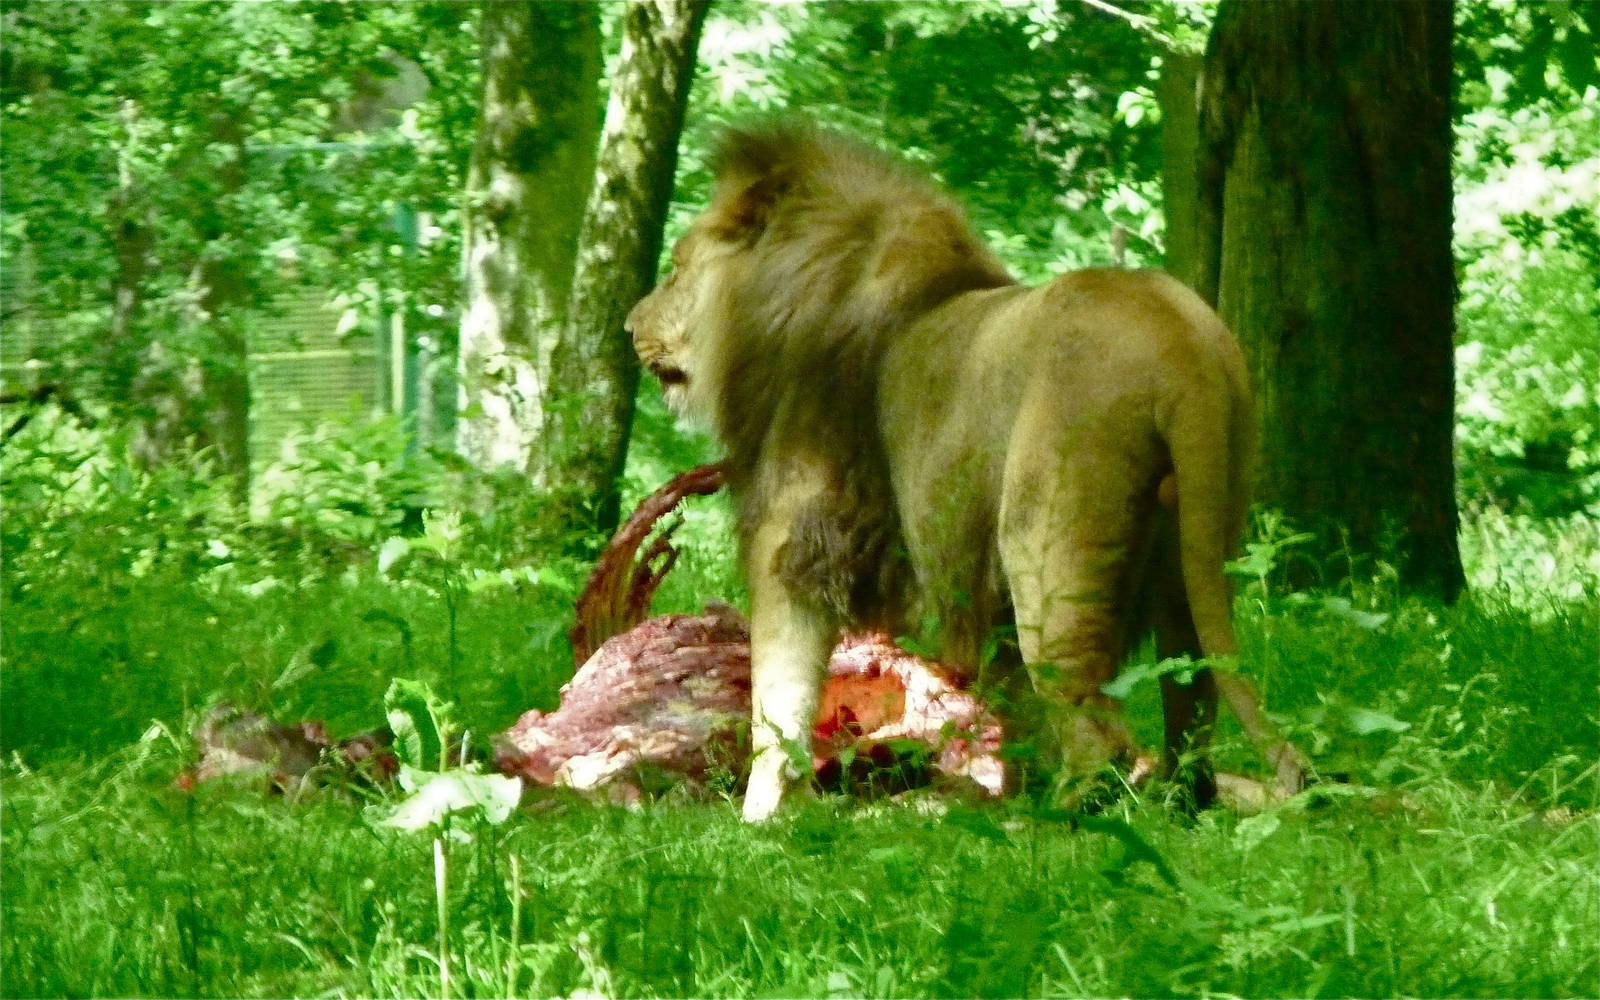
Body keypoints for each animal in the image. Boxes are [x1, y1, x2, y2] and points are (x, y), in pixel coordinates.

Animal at [627, 120, 1307, 821]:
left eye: (674, 267)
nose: (627, 327)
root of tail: (1182, 351)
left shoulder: (798, 538)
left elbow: (780, 694)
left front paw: (763, 814)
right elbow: (1013, 700)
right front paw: (1005, 788)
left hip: (1048, 543)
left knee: (1100, 731)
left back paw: (1057, 815)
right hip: (1194, 540)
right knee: (1189, 691)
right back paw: (1173, 800)